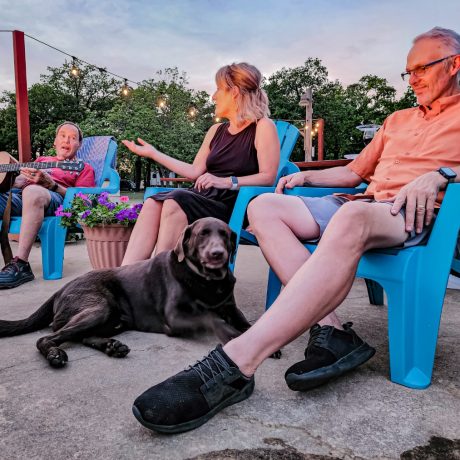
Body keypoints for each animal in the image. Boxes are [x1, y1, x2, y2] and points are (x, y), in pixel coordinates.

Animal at [0, 217, 252, 368]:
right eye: (202, 234)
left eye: (225, 235)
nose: (217, 254)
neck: (207, 281)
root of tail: (61, 288)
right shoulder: (175, 317)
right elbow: (211, 318)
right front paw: (234, 335)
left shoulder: (231, 308)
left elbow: (244, 322)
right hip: (100, 307)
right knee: (50, 336)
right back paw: (55, 355)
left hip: (113, 319)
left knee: (82, 336)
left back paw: (111, 347)